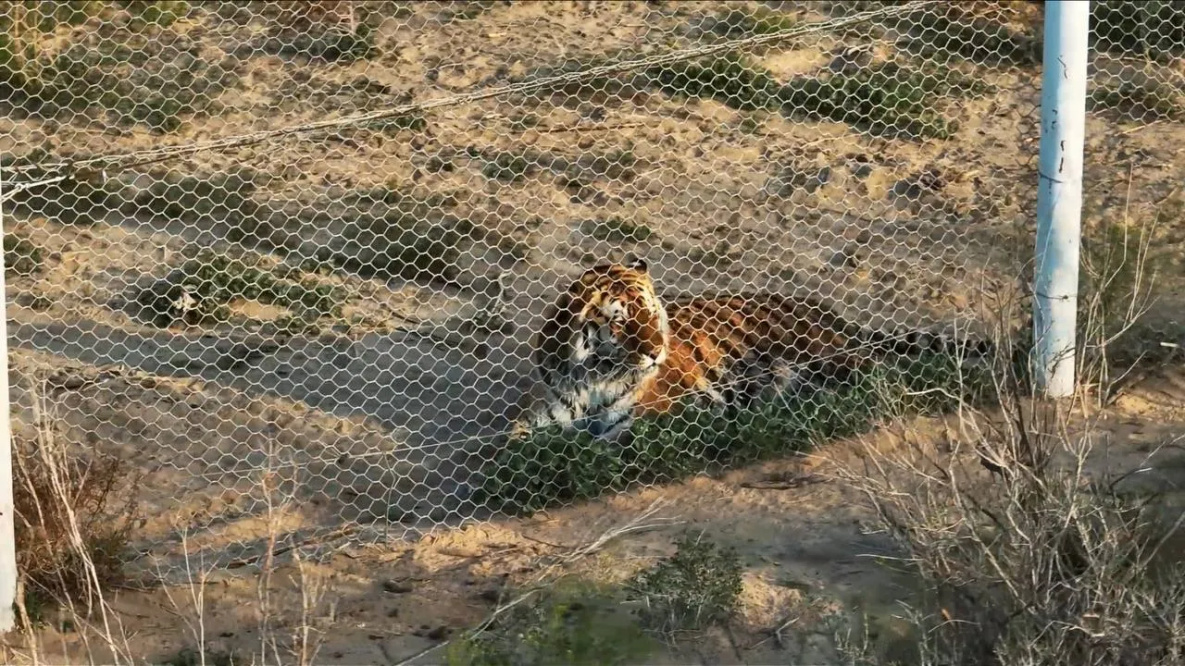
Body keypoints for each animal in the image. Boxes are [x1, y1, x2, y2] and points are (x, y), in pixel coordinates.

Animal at [514, 257, 993, 443]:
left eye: (649, 313)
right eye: (618, 321)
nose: (654, 352)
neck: (593, 374)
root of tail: (828, 311)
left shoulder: (666, 412)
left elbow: (612, 439)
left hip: (829, 357)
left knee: (882, 376)